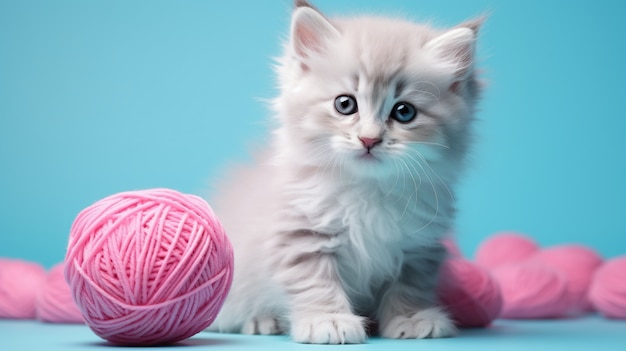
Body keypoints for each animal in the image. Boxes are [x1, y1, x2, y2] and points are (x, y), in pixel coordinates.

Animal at [207, 0, 480, 346]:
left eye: (404, 112)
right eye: (345, 104)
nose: (369, 139)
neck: (368, 190)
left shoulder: (419, 245)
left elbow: (410, 285)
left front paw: (411, 318)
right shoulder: (301, 235)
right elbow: (315, 283)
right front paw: (329, 321)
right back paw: (262, 320)